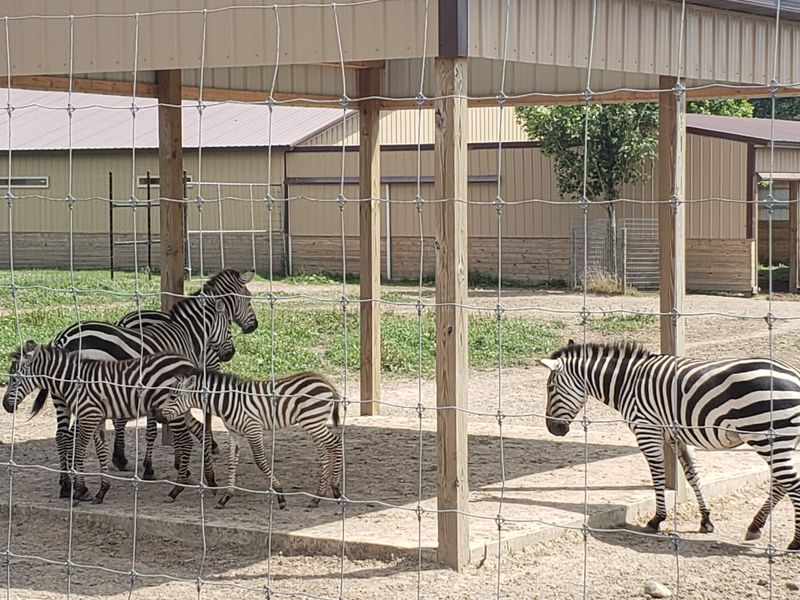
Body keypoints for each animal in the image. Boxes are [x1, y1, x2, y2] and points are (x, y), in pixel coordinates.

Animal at [3, 341, 215, 503]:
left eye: (15, 380)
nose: (5, 406)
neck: (73, 381)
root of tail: (187, 361)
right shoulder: (96, 418)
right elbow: (100, 451)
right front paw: (101, 490)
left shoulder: (88, 416)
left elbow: (79, 450)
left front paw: (80, 490)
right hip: (180, 408)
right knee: (200, 430)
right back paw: (210, 480)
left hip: (174, 409)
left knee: (187, 441)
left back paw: (177, 489)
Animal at [24, 295, 234, 498]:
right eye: (229, 327)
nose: (230, 354)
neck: (186, 333)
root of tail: (62, 338)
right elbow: (154, 430)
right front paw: (154, 469)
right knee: (71, 435)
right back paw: (77, 485)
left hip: (60, 396)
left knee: (62, 435)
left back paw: (66, 484)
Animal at [113, 268, 258, 463]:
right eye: (248, 298)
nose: (254, 326)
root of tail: (125, 320)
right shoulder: (211, 366)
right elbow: (207, 408)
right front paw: (209, 442)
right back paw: (120, 457)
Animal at [156, 370, 342, 510]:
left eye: (173, 397)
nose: (157, 415)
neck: (229, 403)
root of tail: (326, 383)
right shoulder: (235, 434)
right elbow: (232, 463)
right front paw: (226, 497)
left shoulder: (253, 429)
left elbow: (260, 461)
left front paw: (280, 496)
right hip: (313, 423)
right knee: (326, 452)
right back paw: (318, 497)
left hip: (312, 421)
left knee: (336, 443)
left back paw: (336, 490)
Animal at [540, 339, 800, 550]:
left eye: (550, 388)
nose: (553, 429)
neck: (627, 383)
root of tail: (794, 375)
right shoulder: (677, 437)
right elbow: (693, 475)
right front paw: (706, 519)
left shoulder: (647, 431)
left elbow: (658, 476)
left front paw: (657, 519)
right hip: (781, 441)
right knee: (780, 484)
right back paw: (755, 526)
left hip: (767, 438)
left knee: (791, 484)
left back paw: (794, 542)